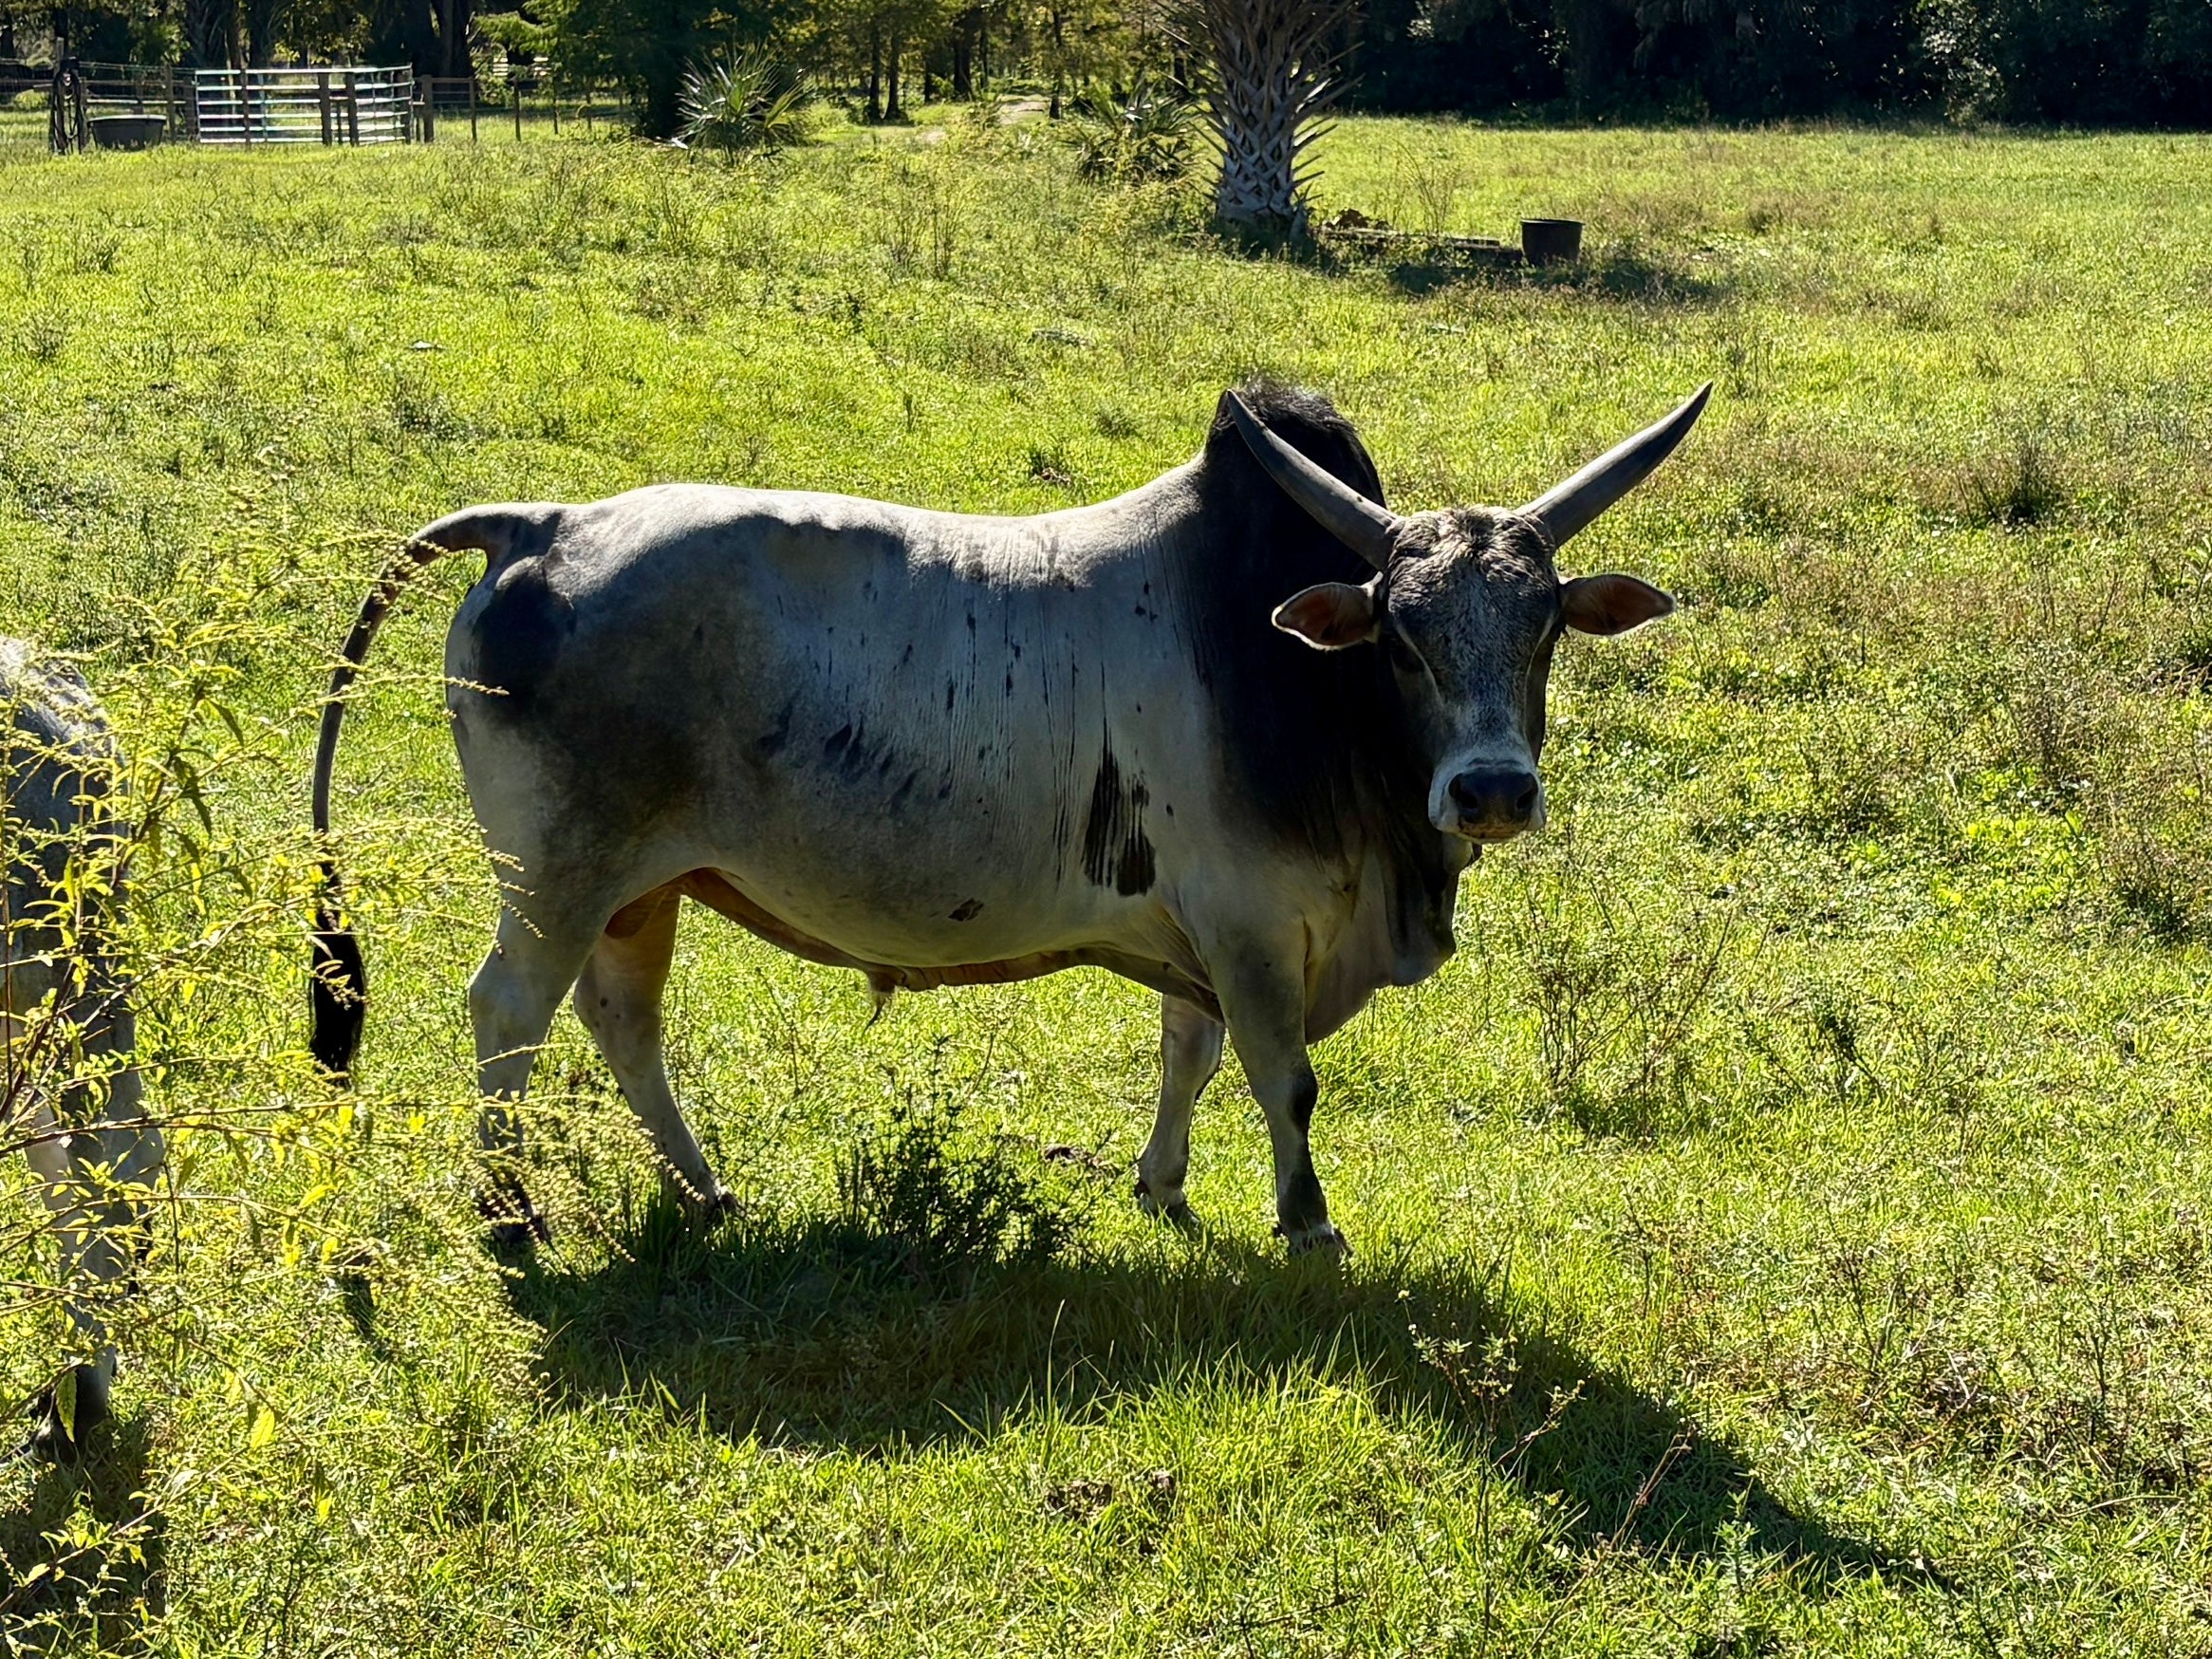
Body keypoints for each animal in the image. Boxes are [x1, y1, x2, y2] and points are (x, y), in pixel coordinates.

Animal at [308, 382, 1706, 1254]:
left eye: (1541, 626)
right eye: (1401, 637)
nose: (1490, 789)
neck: (1295, 682)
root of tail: (536, 526)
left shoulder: (1201, 935)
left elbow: (1188, 1054)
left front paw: (1161, 1186)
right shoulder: (1252, 922)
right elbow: (1281, 1076)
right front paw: (1306, 1223)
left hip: (638, 886)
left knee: (620, 1023)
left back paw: (705, 1192)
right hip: (555, 875)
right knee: (507, 1013)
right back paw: (510, 1215)